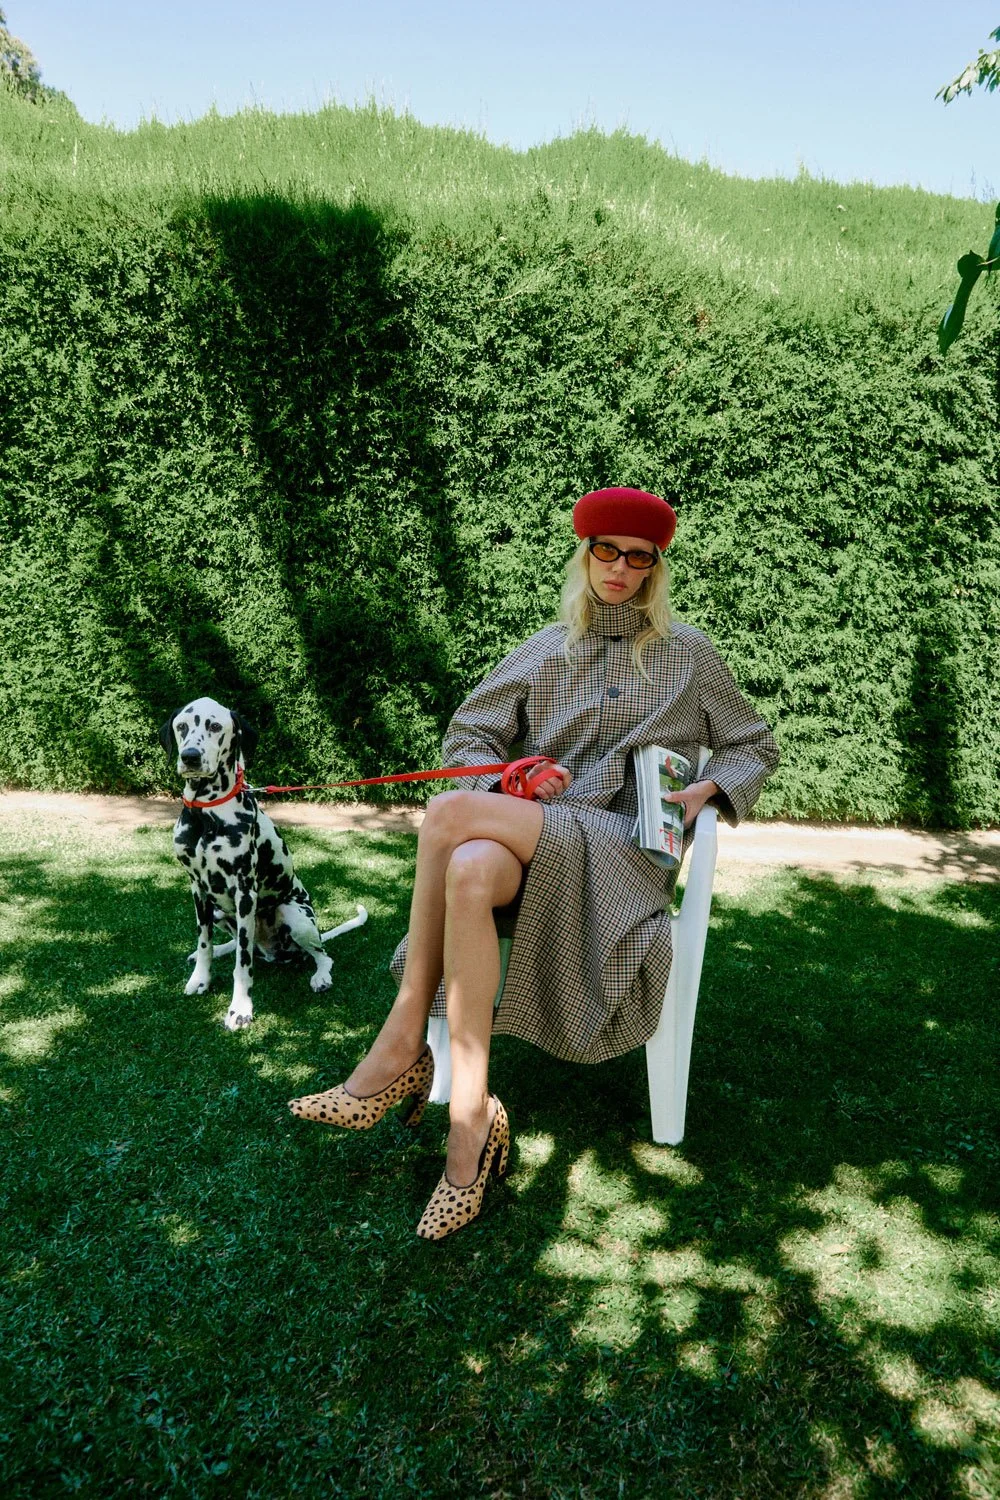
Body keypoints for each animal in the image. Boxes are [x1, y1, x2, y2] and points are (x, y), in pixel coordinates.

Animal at [159, 695, 367, 1030]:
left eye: (214, 726)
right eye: (182, 726)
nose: (190, 757)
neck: (206, 814)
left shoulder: (245, 892)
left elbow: (243, 964)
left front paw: (240, 1009)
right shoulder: (198, 889)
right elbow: (205, 943)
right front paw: (200, 978)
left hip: (294, 914)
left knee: (322, 955)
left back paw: (320, 976)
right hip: (219, 911)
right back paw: (221, 949)